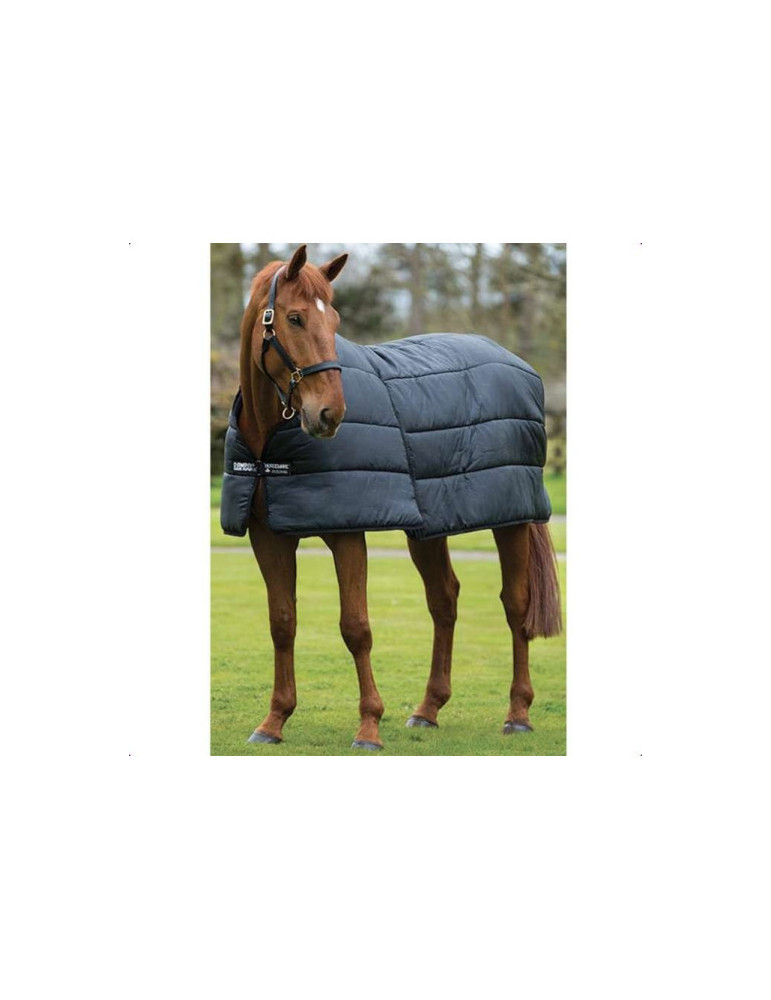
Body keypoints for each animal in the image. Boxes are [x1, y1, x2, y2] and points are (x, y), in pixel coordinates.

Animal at [228, 244, 561, 751]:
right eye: (294, 318)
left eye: (335, 319)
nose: (330, 414)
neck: (269, 443)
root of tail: (518, 364)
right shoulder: (268, 536)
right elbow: (282, 622)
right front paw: (273, 722)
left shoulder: (347, 533)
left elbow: (356, 628)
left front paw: (368, 727)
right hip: (430, 526)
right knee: (444, 600)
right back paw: (428, 710)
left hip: (513, 519)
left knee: (516, 604)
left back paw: (518, 713)